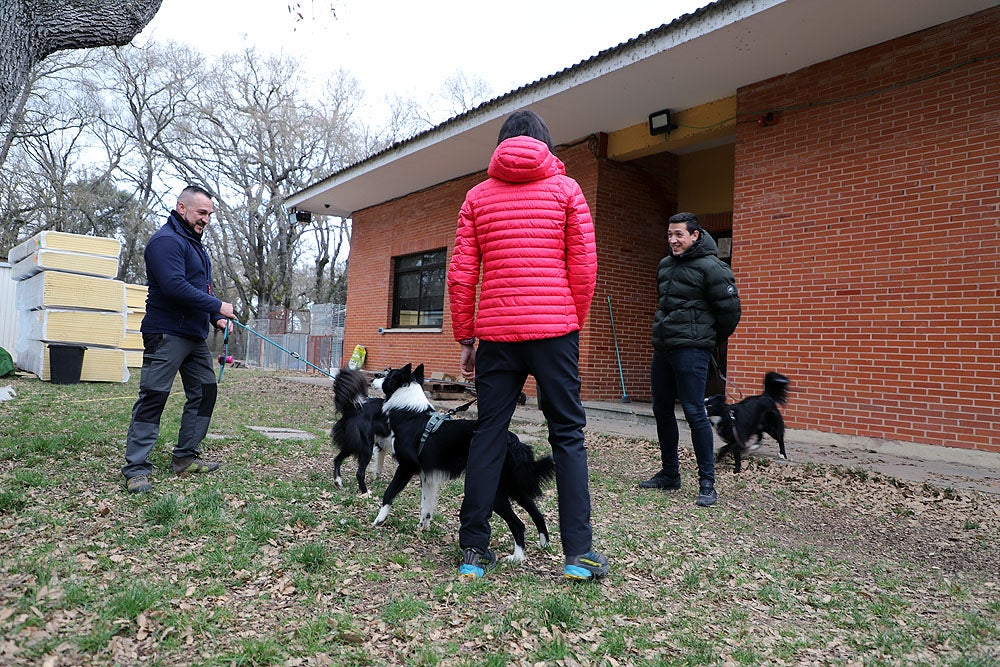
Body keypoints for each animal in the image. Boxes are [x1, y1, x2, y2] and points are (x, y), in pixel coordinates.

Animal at [374, 366, 556, 564]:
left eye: (387, 374)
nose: (373, 377)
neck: (410, 415)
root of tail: (512, 441)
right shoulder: (428, 476)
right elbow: (426, 506)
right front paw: (422, 527)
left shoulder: (407, 466)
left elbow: (389, 492)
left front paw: (379, 520)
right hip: (514, 487)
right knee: (537, 514)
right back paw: (544, 544)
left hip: (496, 493)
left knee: (518, 524)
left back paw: (517, 557)